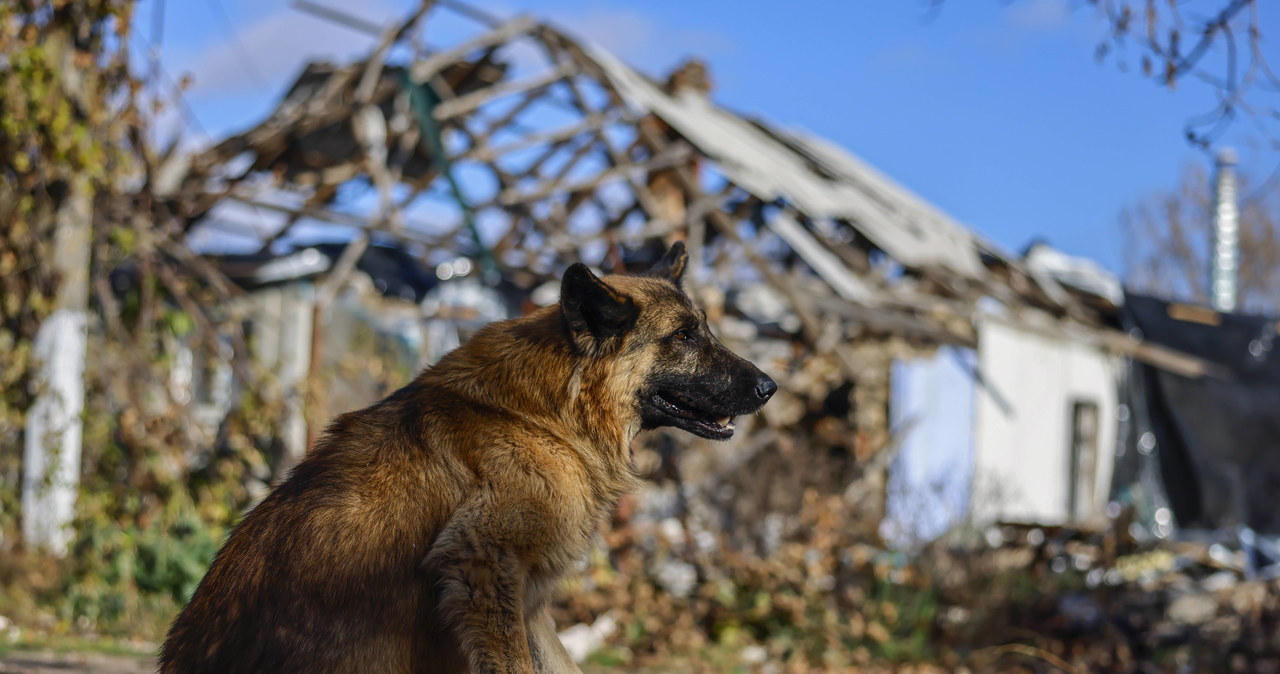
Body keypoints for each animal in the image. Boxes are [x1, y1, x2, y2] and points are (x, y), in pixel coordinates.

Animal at [163, 244, 773, 674]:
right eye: (684, 336)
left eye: (705, 329)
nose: (771, 386)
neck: (550, 414)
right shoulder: (481, 565)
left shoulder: (527, 601)